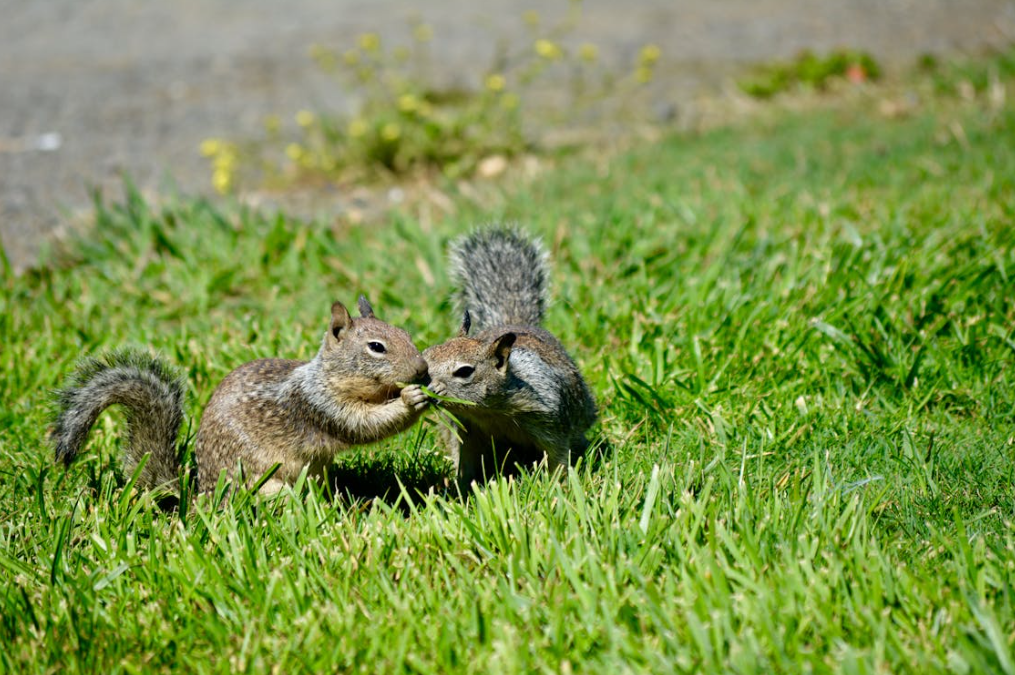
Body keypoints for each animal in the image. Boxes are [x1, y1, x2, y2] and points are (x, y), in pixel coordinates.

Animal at [51, 298, 428, 497]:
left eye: (405, 333)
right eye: (376, 347)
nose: (422, 370)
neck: (326, 377)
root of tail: (201, 499)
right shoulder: (320, 406)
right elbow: (364, 425)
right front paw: (411, 400)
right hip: (266, 485)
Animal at [424, 226, 596, 489]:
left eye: (465, 371)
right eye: (425, 355)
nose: (428, 388)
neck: (488, 411)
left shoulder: (551, 421)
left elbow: (557, 456)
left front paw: (558, 486)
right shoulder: (466, 430)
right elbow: (465, 463)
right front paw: (459, 487)